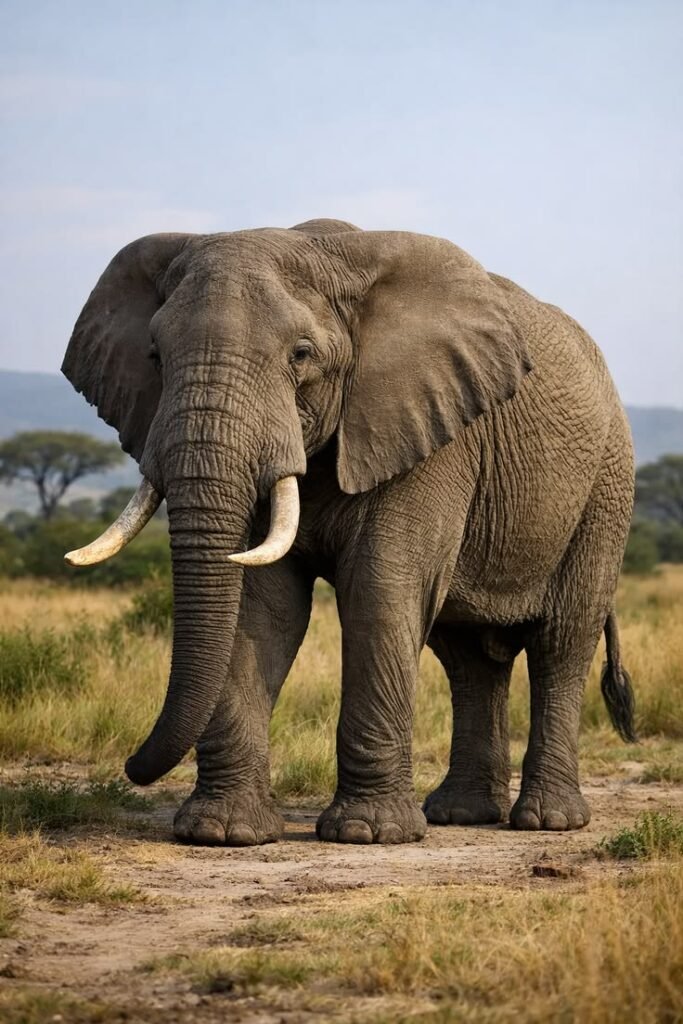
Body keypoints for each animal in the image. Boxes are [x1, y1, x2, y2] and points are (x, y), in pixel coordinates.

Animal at [61, 217, 636, 846]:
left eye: (301, 355)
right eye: (156, 356)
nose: (130, 767)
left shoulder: (429, 432)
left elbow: (380, 590)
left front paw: (369, 834)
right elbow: (261, 606)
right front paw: (221, 833)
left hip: (605, 485)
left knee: (562, 641)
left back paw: (548, 822)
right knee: (467, 658)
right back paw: (461, 815)